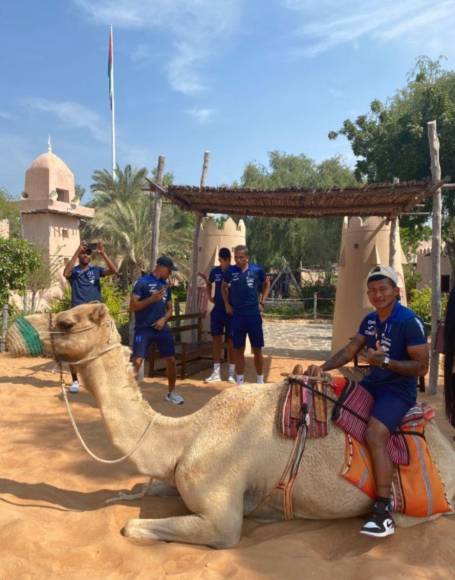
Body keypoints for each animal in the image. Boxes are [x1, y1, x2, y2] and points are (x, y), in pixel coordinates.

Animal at [6, 304, 455, 548]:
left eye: (67, 322)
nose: (17, 333)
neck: (185, 436)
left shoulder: (221, 520)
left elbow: (131, 525)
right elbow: (136, 491)